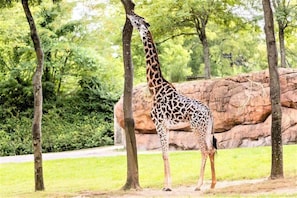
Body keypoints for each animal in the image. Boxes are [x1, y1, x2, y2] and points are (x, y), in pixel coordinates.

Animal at [126, 11, 216, 191]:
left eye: (138, 19)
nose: (129, 12)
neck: (154, 87)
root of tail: (209, 112)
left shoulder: (159, 123)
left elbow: (164, 154)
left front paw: (167, 186)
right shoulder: (166, 126)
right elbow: (166, 153)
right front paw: (168, 184)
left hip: (197, 128)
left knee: (204, 151)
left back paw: (199, 185)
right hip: (207, 129)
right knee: (212, 150)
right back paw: (212, 185)